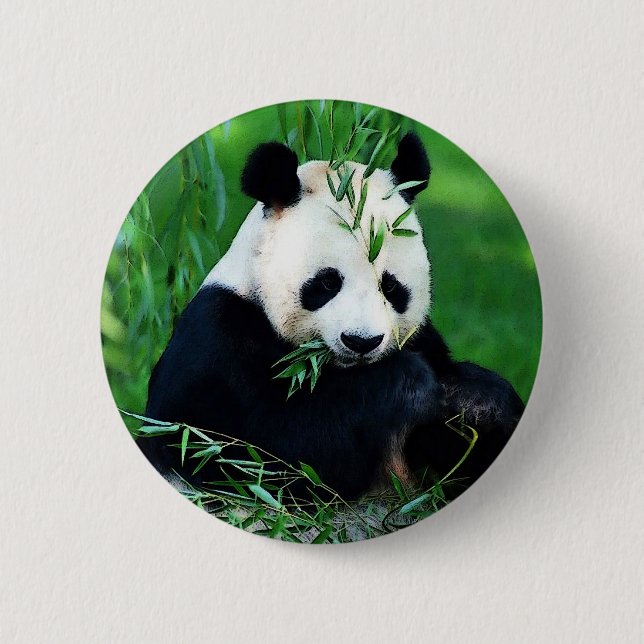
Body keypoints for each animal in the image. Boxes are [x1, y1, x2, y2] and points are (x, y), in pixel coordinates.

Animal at [142, 133, 524, 500]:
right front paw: (409, 382)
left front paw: (475, 402)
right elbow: (257, 453)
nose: (361, 342)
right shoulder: (216, 342)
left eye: (390, 286)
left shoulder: (423, 338)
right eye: (327, 282)